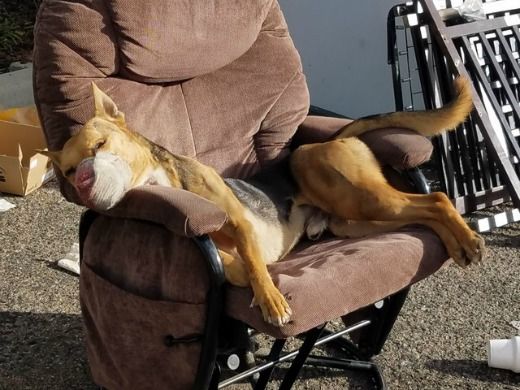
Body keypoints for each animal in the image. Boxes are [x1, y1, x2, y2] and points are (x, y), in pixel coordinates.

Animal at [39, 78, 484, 326]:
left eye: (100, 144)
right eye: (68, 170)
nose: (82, 180)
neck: (163, 178)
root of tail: (334, 136)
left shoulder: (238, 221)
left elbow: (253, 263)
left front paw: (271, 300)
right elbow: (239, 267)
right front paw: (256, 284)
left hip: (351, 192)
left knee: (437, 198)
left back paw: (468, 241)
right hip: (353, 221)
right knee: (423, 214)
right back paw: (458, 243)